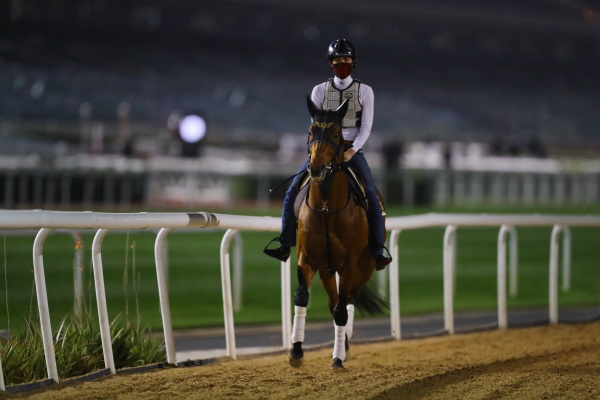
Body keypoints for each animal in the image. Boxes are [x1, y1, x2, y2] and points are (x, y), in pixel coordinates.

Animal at [290, 96, 384, 368]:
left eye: (336, 132)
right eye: (311, 131)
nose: (317, 168)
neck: (326, 208)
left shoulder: (350, 263)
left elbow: (343, 308)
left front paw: (338, 358)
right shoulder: (308, 258)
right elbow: (302, 297)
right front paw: (296, 350)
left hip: (365, 266)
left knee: (349, 300)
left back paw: (345, 344)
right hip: (327, 270)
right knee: (334, 302)